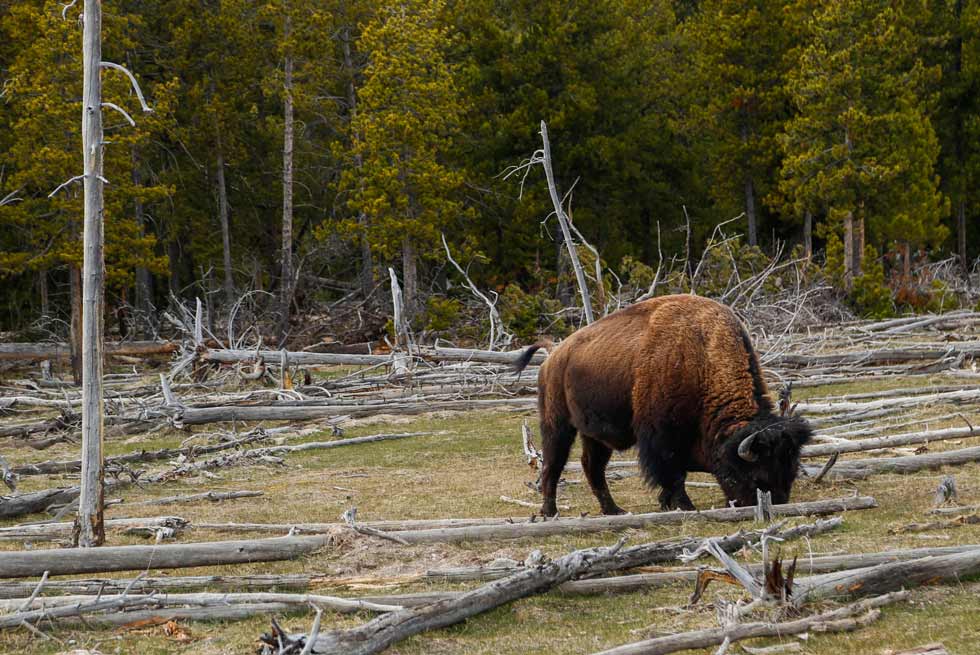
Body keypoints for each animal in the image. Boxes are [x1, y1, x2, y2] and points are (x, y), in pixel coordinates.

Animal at [514, 294, 811, 517]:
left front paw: (667, 504)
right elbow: (672, 473)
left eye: (790, 471)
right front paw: (684, 506)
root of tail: (553, 356)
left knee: (592, 467)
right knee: (552, 465)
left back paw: (614, 510)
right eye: (756, 476)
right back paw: (550, 512)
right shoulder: (662, 436)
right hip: (557, 424)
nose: (775, 504)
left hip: (593, 435)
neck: (702, 358)